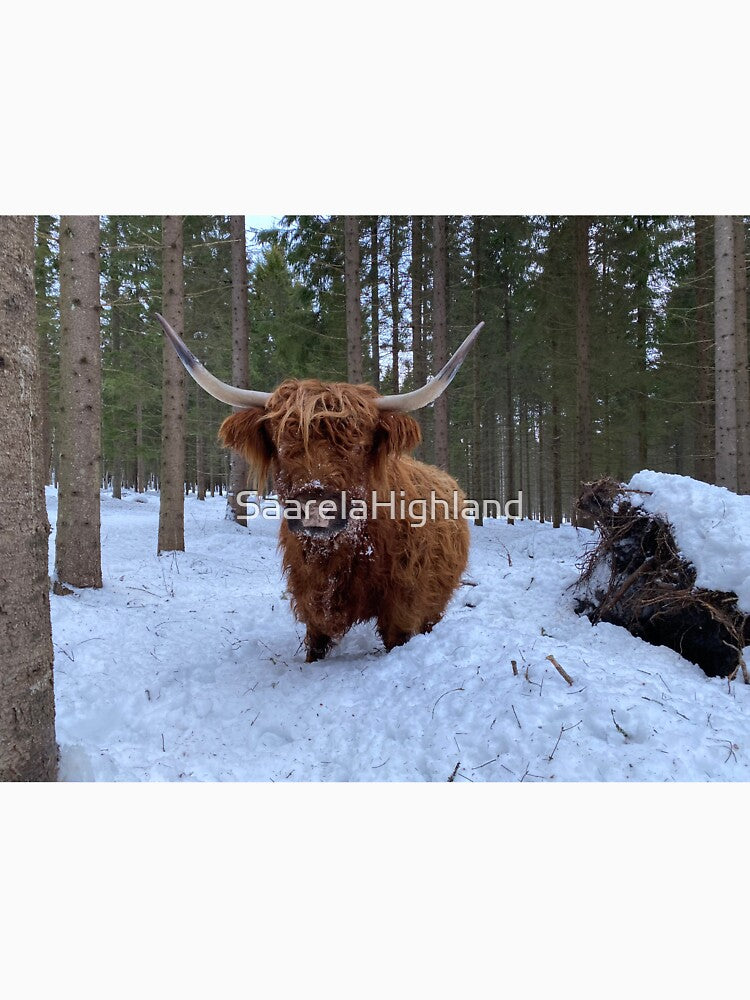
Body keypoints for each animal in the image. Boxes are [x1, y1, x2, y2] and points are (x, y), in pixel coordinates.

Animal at [156, 313, 485, 661]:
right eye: (281, 445)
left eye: (359, 445)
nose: (315, 505)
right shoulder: (309, 598)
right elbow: (315, 644)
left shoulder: (404, 607)